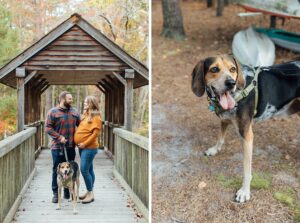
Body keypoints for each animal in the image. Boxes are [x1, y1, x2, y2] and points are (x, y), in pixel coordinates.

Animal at [191, 55, 300, 202]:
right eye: (214, 69)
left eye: (233, 69)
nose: (231, 83)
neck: (238, 93)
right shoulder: (225, 118)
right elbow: (220, 138)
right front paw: (214, 149)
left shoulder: (246, 135)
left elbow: (246, 169)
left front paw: (244, 191)